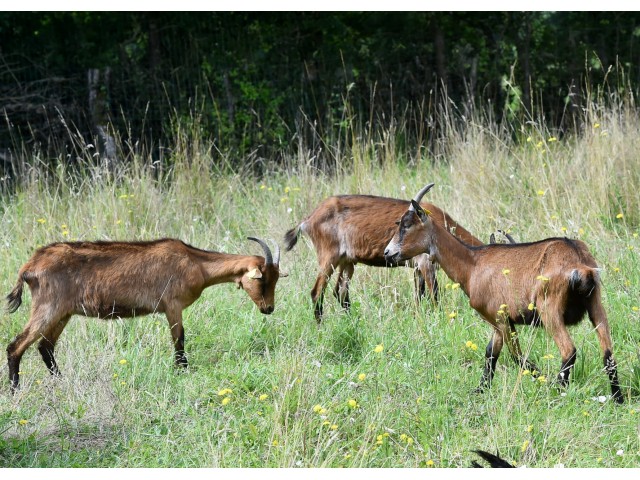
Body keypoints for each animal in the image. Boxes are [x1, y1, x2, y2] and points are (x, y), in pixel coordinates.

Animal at [5, 238, 280, 392]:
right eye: (263, 279)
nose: (268, 308)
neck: (196, 263)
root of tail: (30, 266)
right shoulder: (173, 306)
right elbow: (179, 339)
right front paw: (182, 371)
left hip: (63, 313)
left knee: (45, 347)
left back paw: (61, 382)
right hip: (48, 309)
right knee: (15, 346)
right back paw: (15, 390)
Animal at [282, 191, 482, 322]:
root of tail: (308, 219)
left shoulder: (417, 268)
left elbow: (419, 297)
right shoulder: (426, 264)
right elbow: (434, 295)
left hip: (347, 261)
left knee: (340, 292)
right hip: (329, 258)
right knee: (317, 292)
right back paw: (321, 326)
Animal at [382, 186, 624, 404]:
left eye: (406, 225)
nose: (387, 253)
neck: (473, 264)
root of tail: (580, 264)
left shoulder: (499, 317)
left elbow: (515, 355)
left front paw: (541, 380)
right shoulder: (499, 321)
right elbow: (491, 353)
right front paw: (480, 390)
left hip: (549, 308)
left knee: (569, 350)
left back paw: (558, 391)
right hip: (595, 303)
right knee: (607, 351)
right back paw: (617, 398)